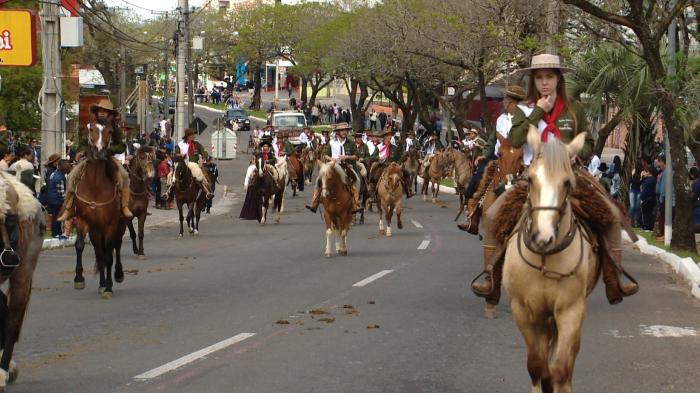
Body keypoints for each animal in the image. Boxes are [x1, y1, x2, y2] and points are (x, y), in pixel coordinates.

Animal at [73, 115, 129, 298]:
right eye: (91, 128)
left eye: (110, 131)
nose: (99, 152)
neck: (95, 186)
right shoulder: (83, 220)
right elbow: (81, 246)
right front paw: (79, 279)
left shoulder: (111, 224)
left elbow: (109, 254)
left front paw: (109, 287)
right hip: (96, 230)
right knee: (100, 252)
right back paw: (102, 283)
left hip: (120, 224)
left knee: (116, 246)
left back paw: (117, 275)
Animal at [504, 127, 596, 390]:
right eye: (530, 179)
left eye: (567, 182)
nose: (542, 237)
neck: (545, 257)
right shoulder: (522, 310)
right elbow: (537, 367)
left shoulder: (571, 310)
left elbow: (560, 370)